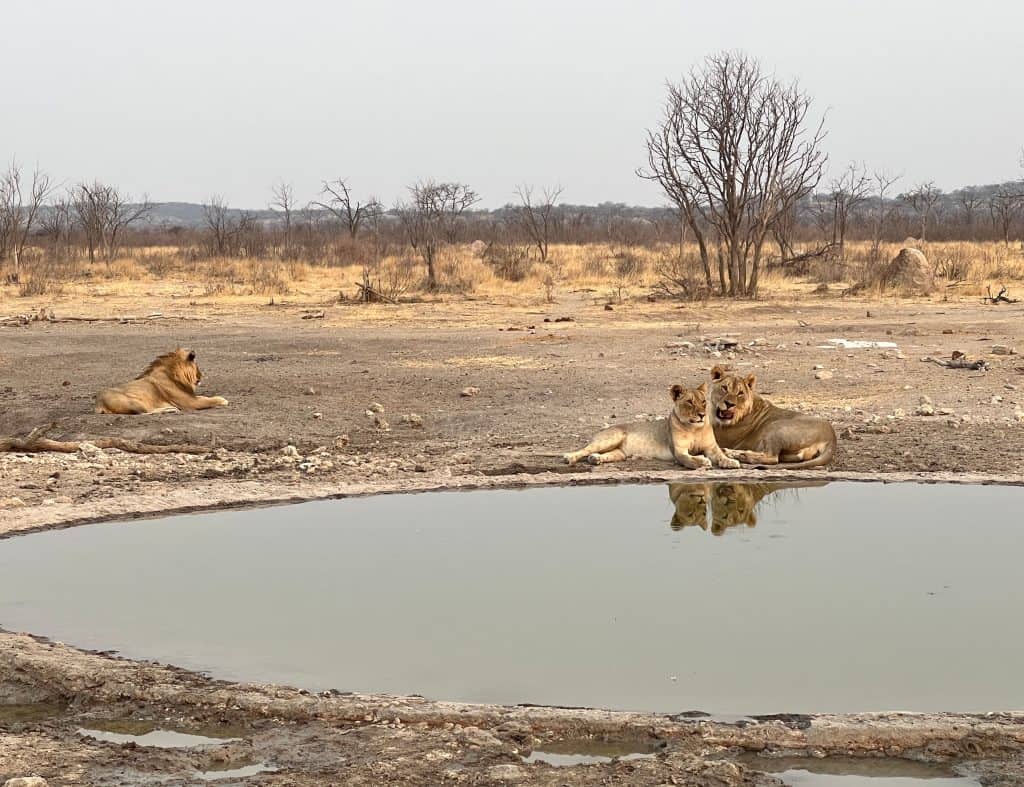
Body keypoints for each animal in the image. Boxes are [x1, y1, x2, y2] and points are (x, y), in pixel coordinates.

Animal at [95, 348, 229, 415]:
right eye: (197, 366)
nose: (201, 376)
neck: (173, 374)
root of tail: (99, 404)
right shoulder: (191, 402)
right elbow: (209, 400)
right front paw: (223, 400)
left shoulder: (191, 397)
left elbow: (204, 397)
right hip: (134, 402)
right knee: (144, 413)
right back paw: (170, 409)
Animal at [564, 383, 741, 470]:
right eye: (690, 402)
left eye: (703, 401)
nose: (702, 415)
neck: (694, 428)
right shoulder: (678, 451)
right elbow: (688, 460)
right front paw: (702, 462)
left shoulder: (711, 448)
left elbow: (721, 455)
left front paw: (730, 462)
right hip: (610, 438)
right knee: (584, 449)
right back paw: (570, 457)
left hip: (620, 453)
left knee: (603, 454)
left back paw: (596, 459)